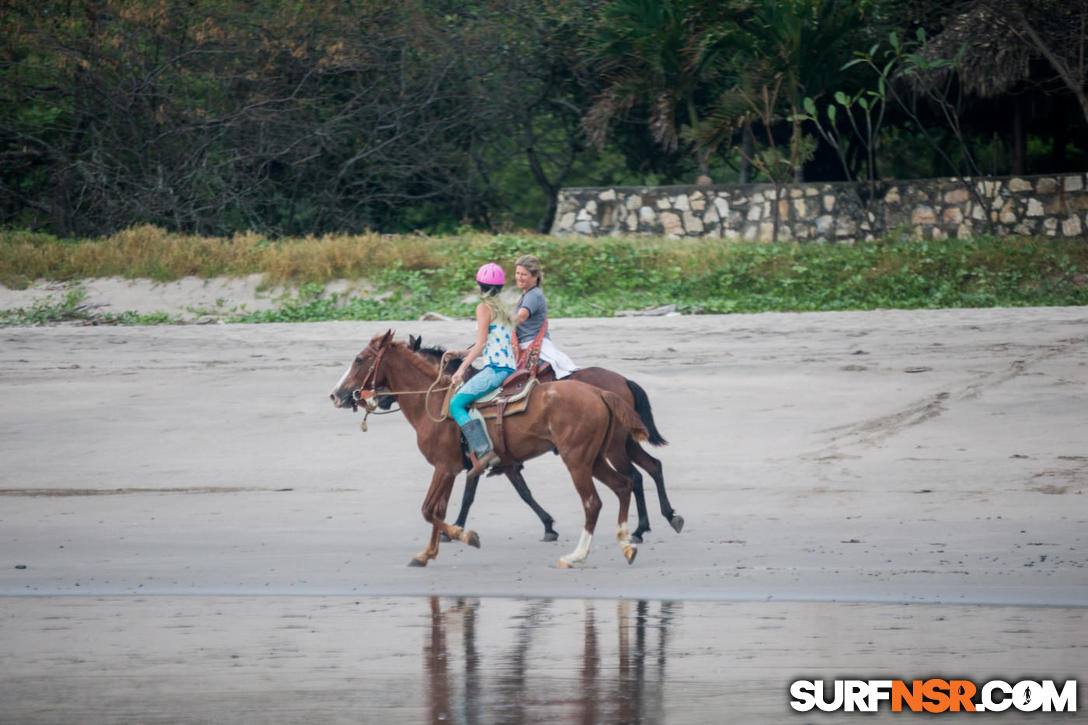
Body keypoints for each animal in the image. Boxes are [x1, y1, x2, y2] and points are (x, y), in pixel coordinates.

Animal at [330, 330, 648, 566]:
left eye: (359, 360)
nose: (337, 395)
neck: (433, 401)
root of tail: (600, 392)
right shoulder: (460, 468)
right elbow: (440, 509)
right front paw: (429, 552)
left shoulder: (447, 467)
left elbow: (432, 509)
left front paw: (463, 535)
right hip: (596, 458)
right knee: (626, 484)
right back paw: (627, 542)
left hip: (581, 460)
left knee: (597, 499)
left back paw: (581, 554)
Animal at [396, 333, 683, 542]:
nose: (385, 399)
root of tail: (622, 380)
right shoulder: (502, 463)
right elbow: (522, 492)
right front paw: (548, 525)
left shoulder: (479, 461)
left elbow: (472, 494)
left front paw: (453, 528)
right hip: (627, 443)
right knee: (652, 467)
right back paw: (663, 518)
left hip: (615, 448)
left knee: (635, 476)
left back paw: (641, 528)